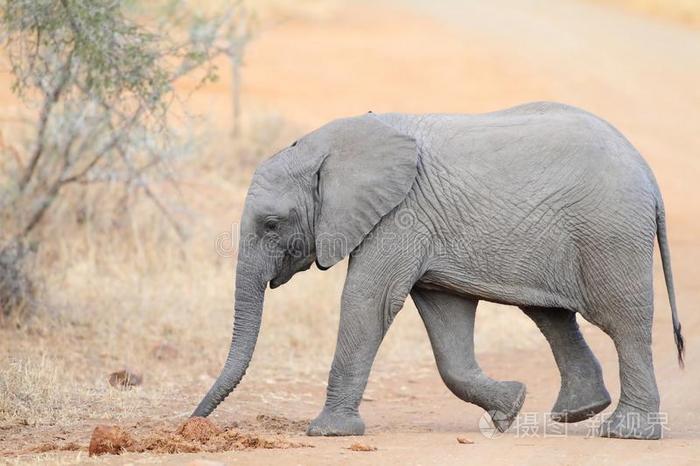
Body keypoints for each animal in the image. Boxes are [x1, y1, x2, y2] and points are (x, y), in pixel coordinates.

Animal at [191, 102, 684, 440]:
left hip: (611, 232)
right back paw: (576, 413)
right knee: (550, 314)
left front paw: (327, 433)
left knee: (624, 323)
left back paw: (626, 433)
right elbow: (446, 324)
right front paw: (509, 409)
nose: (192, 422)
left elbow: (367, 301)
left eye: (272, 224)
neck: (327, 146)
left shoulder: (399, 216)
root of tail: (648, 173)